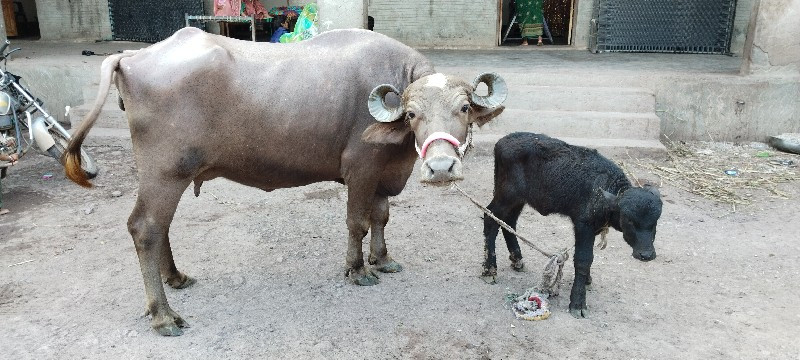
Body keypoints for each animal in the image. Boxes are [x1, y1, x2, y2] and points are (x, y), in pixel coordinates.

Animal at [67, 27, 506, 334]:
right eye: (413, 114)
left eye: (464, 108)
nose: (442, 168)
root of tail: (132, 56)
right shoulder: (361, 169)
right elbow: (358, 222)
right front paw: (357, 269)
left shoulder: (384, 173)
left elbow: (381, 218)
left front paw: (382, 260)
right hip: (165, 172)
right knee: (145, 228)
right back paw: (163, 315)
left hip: (170, 176)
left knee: (161, 227)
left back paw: (175, 278)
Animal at [482, 132, 664, 318]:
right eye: (629, 220)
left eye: (656, 220)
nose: (646, 255)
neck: (603, 192)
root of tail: (502, 141)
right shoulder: (584, 225)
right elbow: (583, 259)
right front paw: (578, 303)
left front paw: (587, 280)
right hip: (506, 196)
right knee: (490, 218)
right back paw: (490, 270)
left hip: (518, 199)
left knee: (508, 221)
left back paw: (517, 259)